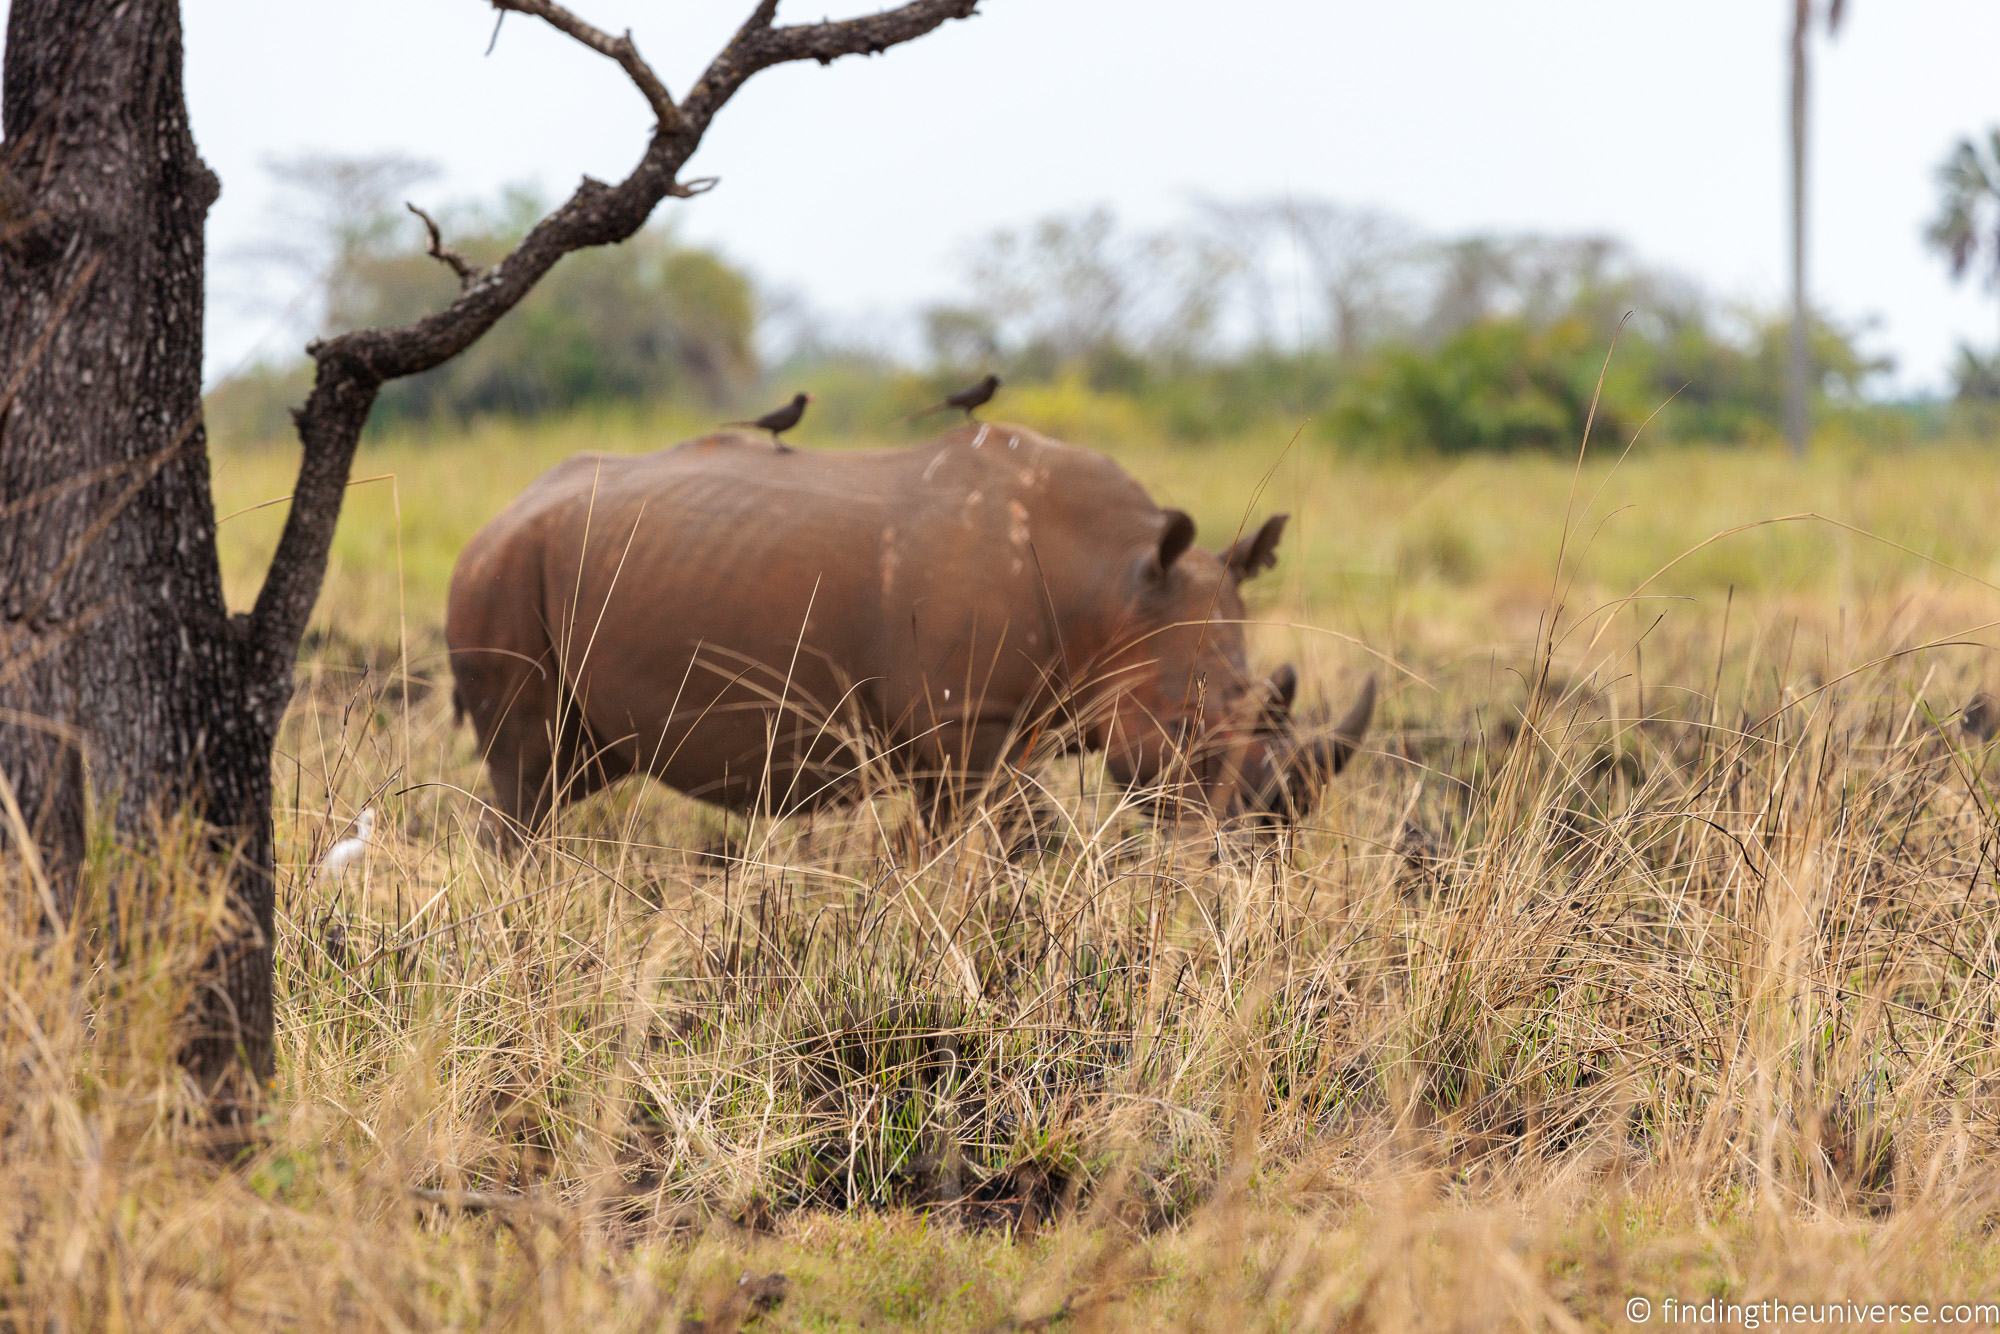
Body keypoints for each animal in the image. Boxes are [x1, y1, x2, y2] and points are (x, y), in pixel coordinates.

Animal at [445, 422, 1372, 837]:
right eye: (1185, 732)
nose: (1261, 831)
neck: (1115, 585)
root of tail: (499, 515)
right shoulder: (962, 725)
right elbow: (992, 842)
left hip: (555, 565)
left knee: (571, 771)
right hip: (503, 570)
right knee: (529, 773)